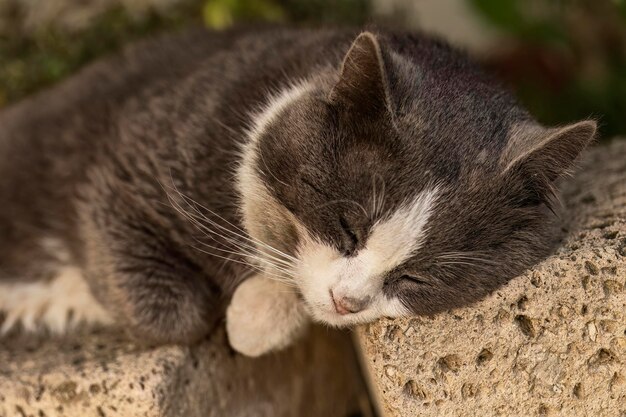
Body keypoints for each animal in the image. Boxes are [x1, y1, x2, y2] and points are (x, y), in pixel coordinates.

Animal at [0, 27, 596, 356]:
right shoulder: (127, 169)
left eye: (419, 276)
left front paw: (255, 314)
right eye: (347, 227)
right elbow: (177, 312)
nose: (348, 300)